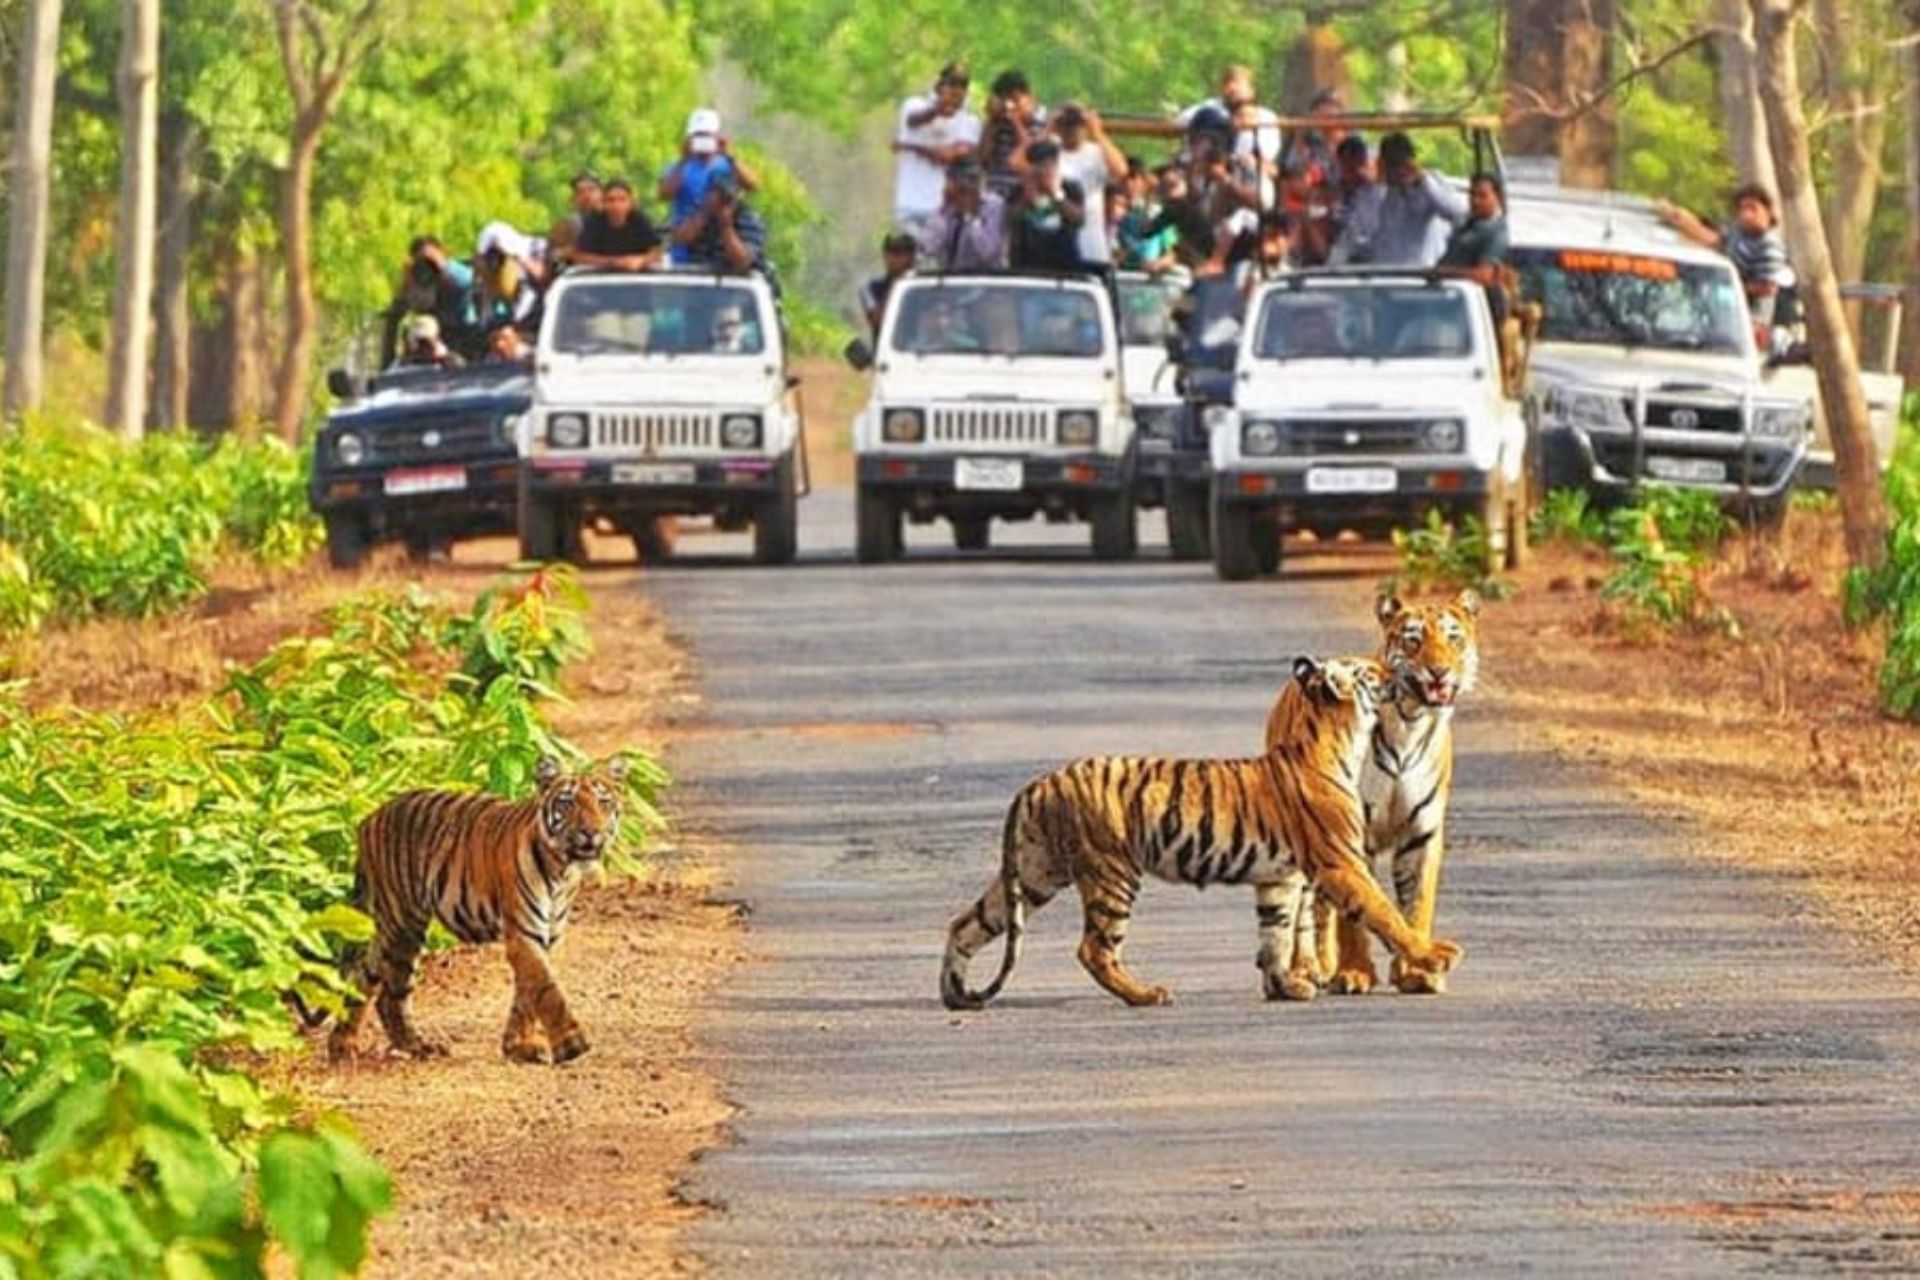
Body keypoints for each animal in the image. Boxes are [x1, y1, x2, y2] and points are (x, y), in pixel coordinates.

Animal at [325, 755, 627, 1064]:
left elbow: (527, 992)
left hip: (390, 927)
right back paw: (414, 1046)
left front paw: (518, 1046)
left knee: (365, 977)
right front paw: (572, 1044)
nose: (591, 832)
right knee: (389, 994)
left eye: (603, 803)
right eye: (567, 804)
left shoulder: (549, 935)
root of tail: (369, 818)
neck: (562, 871)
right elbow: (547, 988)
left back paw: (343, 1045)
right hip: (402, 923)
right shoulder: (523, 933)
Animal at [939, 656, 1463, 1010]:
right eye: (1370, 672)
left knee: (966, 923)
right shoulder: (1342, 863)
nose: (1396, 669)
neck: (1337, 739)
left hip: (1035, 873)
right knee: (1094, 949)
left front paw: (1284, 987)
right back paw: (1147, 994)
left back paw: (955, 993)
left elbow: (1276, 932)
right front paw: (1435, 956)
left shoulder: (1279, 878)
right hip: (1112, 872)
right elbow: (1385, 913)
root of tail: (1038, 783)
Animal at [1271, 590, 1479, 997]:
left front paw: (1417, 972)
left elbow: (1416, 905)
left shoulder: (1422, 833)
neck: (1411, 722)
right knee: (1306, 907)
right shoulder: (1354, 832)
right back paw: (1307, 970)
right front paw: (1354, 973)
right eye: (1413, 640)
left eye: (1454, 638)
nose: (1439, 671)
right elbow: (1355, 916)